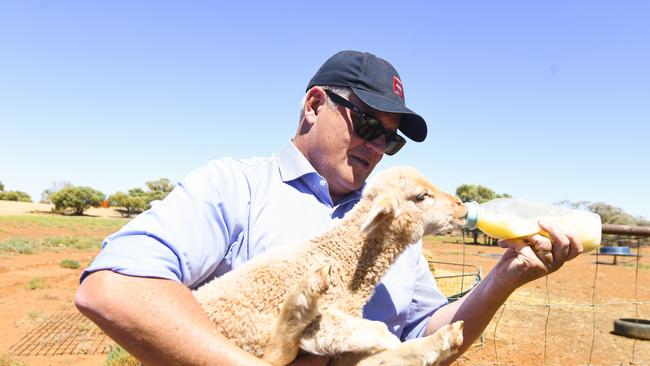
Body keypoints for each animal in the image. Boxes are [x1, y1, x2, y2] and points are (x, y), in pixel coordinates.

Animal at [192, 167, 466, 366]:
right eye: (421, 196)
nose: (461, 205)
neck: (342, 262)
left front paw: (442, 340)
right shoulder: (317, 321)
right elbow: (380, 330)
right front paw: (395, 340)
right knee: (277, 353)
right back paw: (302, 298)